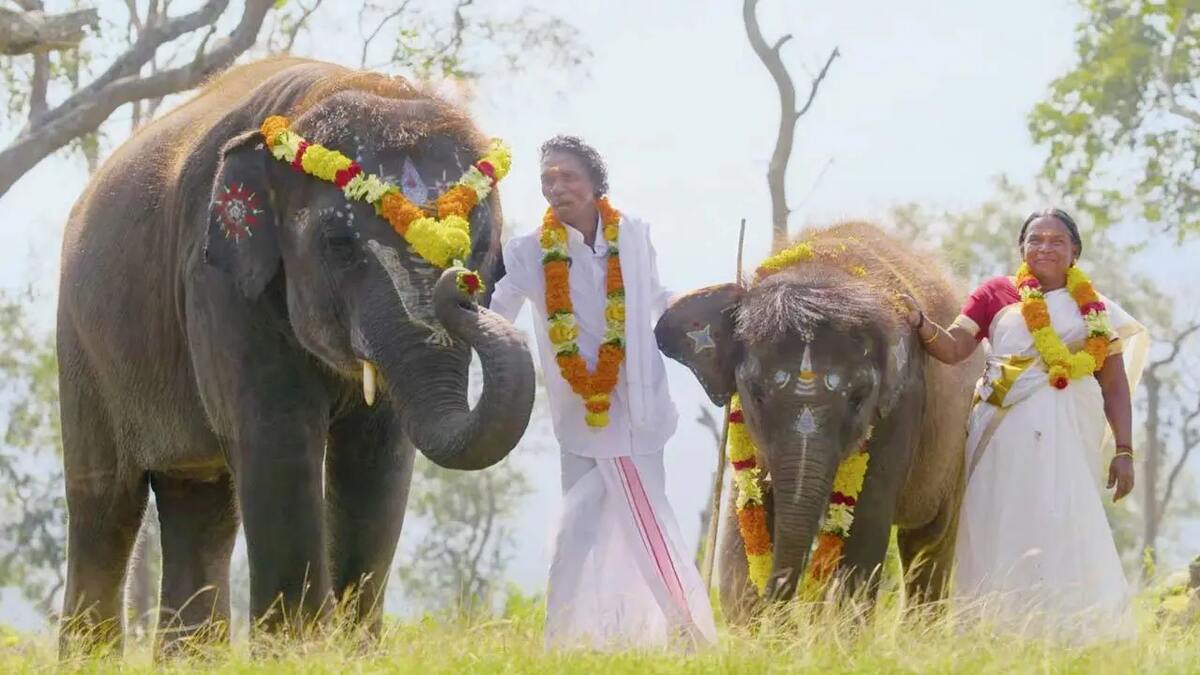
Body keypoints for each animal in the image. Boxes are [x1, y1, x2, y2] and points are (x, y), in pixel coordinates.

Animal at [54, 57, 535, 655]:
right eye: (339, 245)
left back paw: (192, 659)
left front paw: (354, 653)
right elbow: (277, 437)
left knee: (200, 502)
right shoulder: (216, 281)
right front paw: (296, 650)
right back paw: (87, 657)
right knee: (104, 505)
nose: (458, 280)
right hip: (81, 345)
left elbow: (378, 455)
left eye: (485, 246)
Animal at [656, 221, 982, 622]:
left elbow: (865, 525)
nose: (783, 608)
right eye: (756, 394)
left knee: (927, 543)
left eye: (858, 399)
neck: (824, 267)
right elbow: (741, 518)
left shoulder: (904, 404)